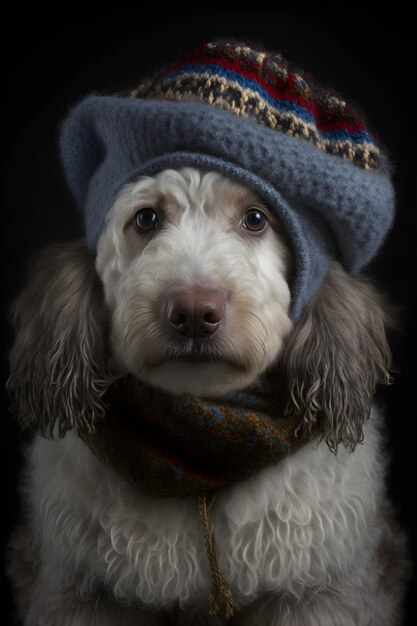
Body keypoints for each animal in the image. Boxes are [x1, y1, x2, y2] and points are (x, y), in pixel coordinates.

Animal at [6, 167, 408, 624]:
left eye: (255, 219)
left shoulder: (314, 595)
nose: (195, 313)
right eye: (146, 219)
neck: (205, 450)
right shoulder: (87, 596)